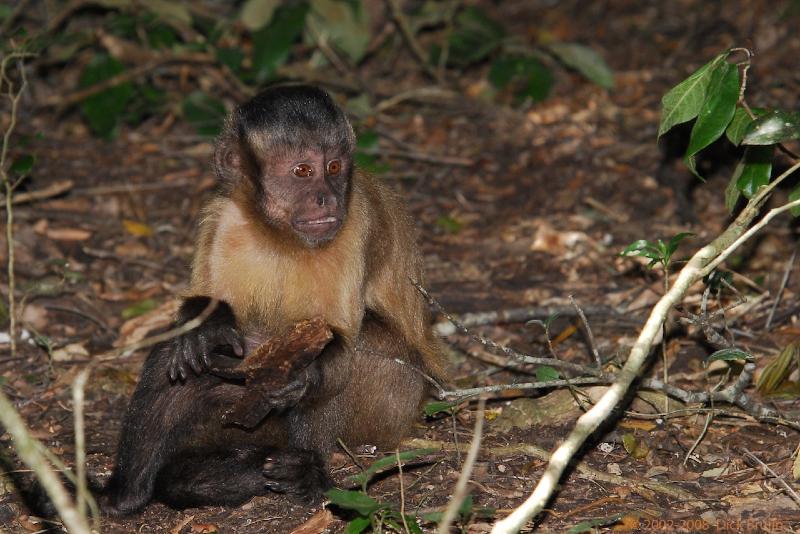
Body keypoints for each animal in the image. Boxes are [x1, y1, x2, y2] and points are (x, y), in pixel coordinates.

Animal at [97, 86, 446, 516]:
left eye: (334, 167)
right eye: (303, 171)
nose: (326, 198)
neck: (281, 235)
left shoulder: (355, 222)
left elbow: (336, 341)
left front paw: (301, 377)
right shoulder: (222, 215)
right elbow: (208, 320)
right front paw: (206, 325)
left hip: (391, 411)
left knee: (360, 344)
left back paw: (309, 472)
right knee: (189, 358)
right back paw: (125, 495)